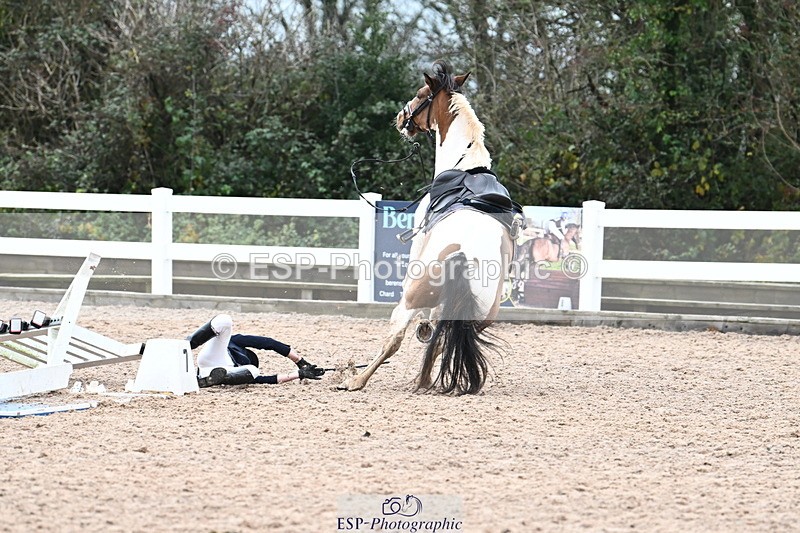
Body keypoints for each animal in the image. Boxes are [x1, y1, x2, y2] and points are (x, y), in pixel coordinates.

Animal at [338, 60, 517, 395]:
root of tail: (464, 254)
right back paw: (423, 380)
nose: (400, 117)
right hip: (481, 314)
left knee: (395, 337)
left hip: (408, 301)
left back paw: (356, 380)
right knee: (441, 339)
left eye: (421, 94)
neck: (465, 165)